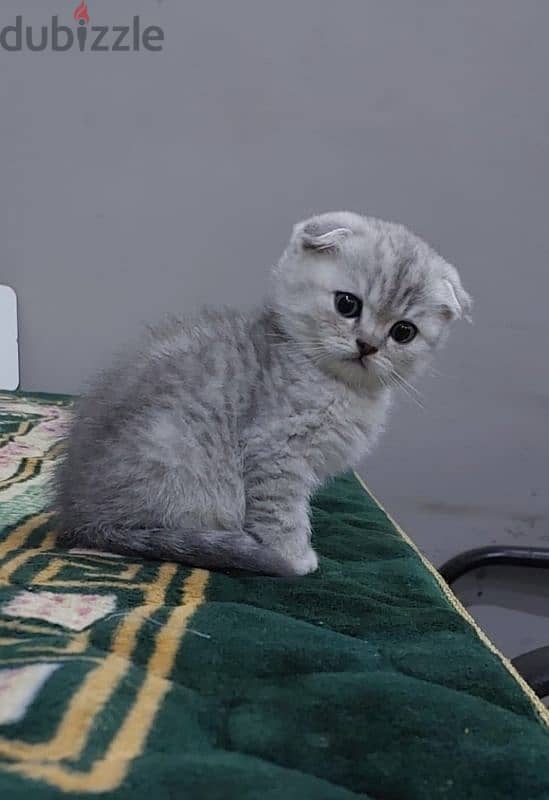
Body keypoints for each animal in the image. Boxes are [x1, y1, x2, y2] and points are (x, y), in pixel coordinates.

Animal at [55, 212, 470, 576]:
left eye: (404, 332)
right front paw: (292, 555)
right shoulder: (274, 446)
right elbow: (281, 512)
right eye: (347, 304)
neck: (337, 384)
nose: (367, 345)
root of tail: (81, 516)